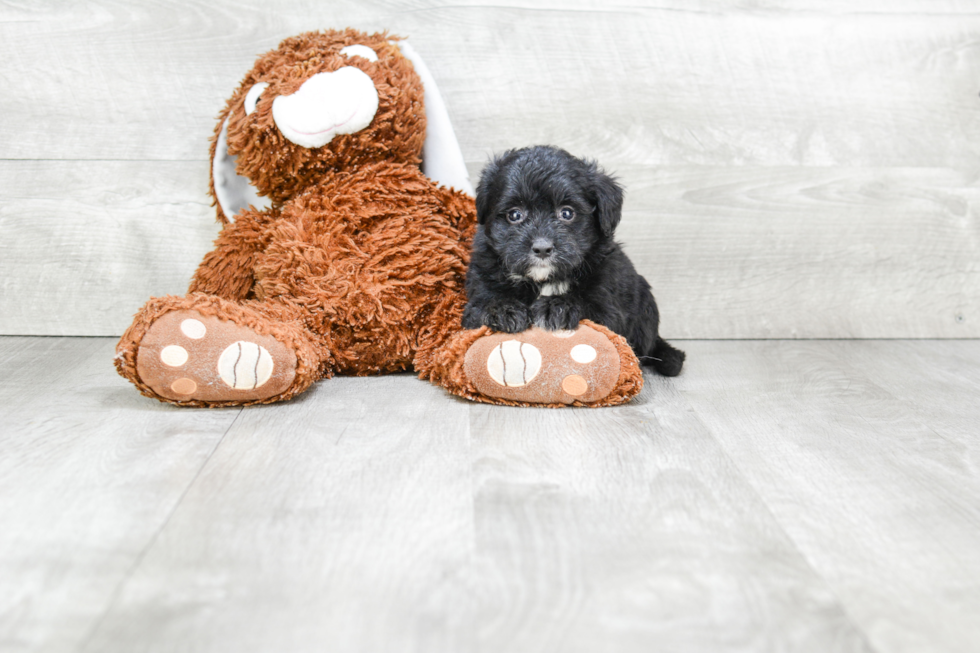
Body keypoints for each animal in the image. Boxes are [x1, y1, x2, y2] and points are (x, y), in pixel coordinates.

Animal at [464, 145, 684, 374]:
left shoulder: (608, 304)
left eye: (567, 213)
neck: (544, 280)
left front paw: (558, 306)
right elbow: (483, 304)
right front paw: (502, 309)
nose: (542, 248)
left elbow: (588, 304)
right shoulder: (479, 288)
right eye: (514, 215)